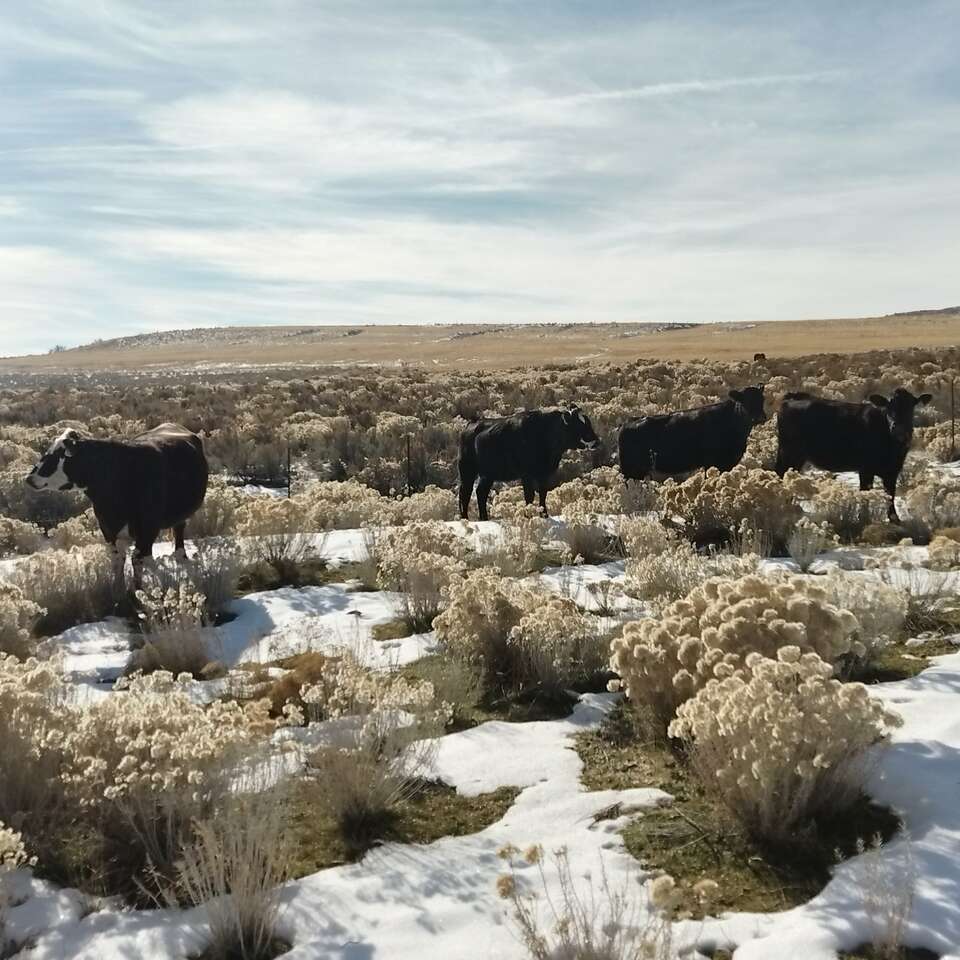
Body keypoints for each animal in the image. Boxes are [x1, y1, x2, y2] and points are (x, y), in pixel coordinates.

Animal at [26, 423, 209, 572]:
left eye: (58, 456)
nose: (29, 478)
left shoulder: (148, 530)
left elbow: (138, 565)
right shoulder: (108, 529)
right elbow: (118, 562)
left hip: (179, 517)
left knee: (179, 531)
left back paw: (181, 556)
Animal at [458, 406, 599, 521]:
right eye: (579, 425)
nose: (596, 441)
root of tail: (472, 424)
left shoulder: (544, 474)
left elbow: (543, 493)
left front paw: (544, 515)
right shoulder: (527, 474)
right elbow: (529, 496)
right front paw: (529, 515)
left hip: (487, 475)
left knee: (480, 492)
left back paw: (484, 518)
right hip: (467, 470)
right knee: (465, 493)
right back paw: (465, 518)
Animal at [618, 386, 767, 481]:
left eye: (762, 399)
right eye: (744, 400)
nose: (760, 417)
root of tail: (627, 423)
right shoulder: (714, 463)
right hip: (632, 471)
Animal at [774, 388, 932, 521]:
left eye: (911, 407)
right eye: (889, 407)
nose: (898, 429)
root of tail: (793, 396)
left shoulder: (893, 471)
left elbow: (890, 495)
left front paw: (895, 519)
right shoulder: (866, 469)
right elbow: (865, 494)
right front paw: (863, 517)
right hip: (790, 452)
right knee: (782, 474)